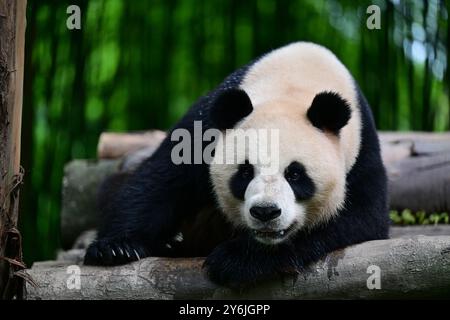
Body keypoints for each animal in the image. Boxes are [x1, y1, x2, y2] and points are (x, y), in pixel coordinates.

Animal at [85, 42, 390, 288]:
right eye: (245, 171)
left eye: (295, 174)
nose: (266, 212)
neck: (294, 86)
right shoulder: (206, 124)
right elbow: (161, 180)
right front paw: (116, 248)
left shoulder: (361, 150)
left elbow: (361, 217)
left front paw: (238, 260)